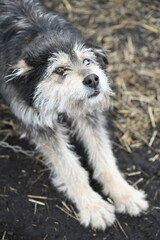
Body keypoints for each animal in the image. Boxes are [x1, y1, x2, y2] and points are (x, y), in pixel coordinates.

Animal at [0, 0, 149, 230]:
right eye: (60, 70)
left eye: (87, 61)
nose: (93, 79)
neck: (37, 31)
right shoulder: (41, 125)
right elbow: (71, 168)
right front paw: (94, 207)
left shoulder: (89, 114)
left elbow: (105, 158)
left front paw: (125, 195)